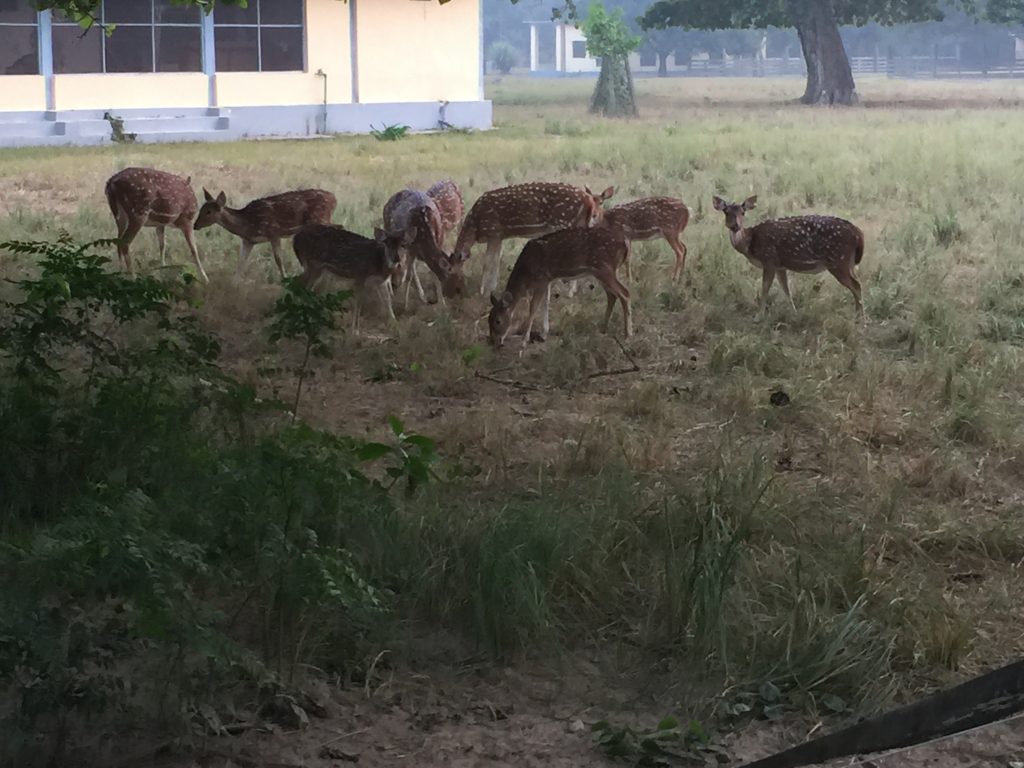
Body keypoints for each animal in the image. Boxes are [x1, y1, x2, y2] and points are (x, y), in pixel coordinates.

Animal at [192, 187, 335, 280]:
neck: (248, 225)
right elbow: (241, 263)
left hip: (320, 219)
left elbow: (278, 260)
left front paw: (284, 279)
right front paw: (233, 285)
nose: (195, 225)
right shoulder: (248, 241)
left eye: (208, 212)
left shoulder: (274, 232)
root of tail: (334, 199)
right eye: (201, 208)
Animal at [452, 182, 610, 296]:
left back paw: (567, 292)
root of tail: (588, 199)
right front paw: (491, 289)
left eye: (449, 272)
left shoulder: (494, 231)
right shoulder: (499, 236)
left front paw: (484, 292)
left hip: (564, 222)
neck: (475, 226)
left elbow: (489, 263)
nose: (458, 292)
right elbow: (495, 261)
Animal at [487, 227, 630, 350]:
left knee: (625, 293)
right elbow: (546, 303)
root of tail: (626, 243)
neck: (527, 272)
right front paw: (543, 334)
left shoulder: (541, 278)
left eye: (498, 321)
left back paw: (628, 335)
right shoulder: (547, 280)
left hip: (605, 267)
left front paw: (523, 341)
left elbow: (533, 307)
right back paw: (603, 328)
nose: (494, 342)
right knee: (612, 295)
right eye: (488, 319)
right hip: (602, 271)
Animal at [712, 198, 864, 321]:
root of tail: (858, 232)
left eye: (743, 212)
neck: (750, 244)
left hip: (838, 260)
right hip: (848, 262)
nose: (735, 226)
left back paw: (860, 318)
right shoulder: (780, 265)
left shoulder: (769, 259)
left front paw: (758, 317)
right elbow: (786, 289)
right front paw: (794, 313)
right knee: (857, 283)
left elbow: (765, 287)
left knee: (856, 285)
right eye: (726, 212)